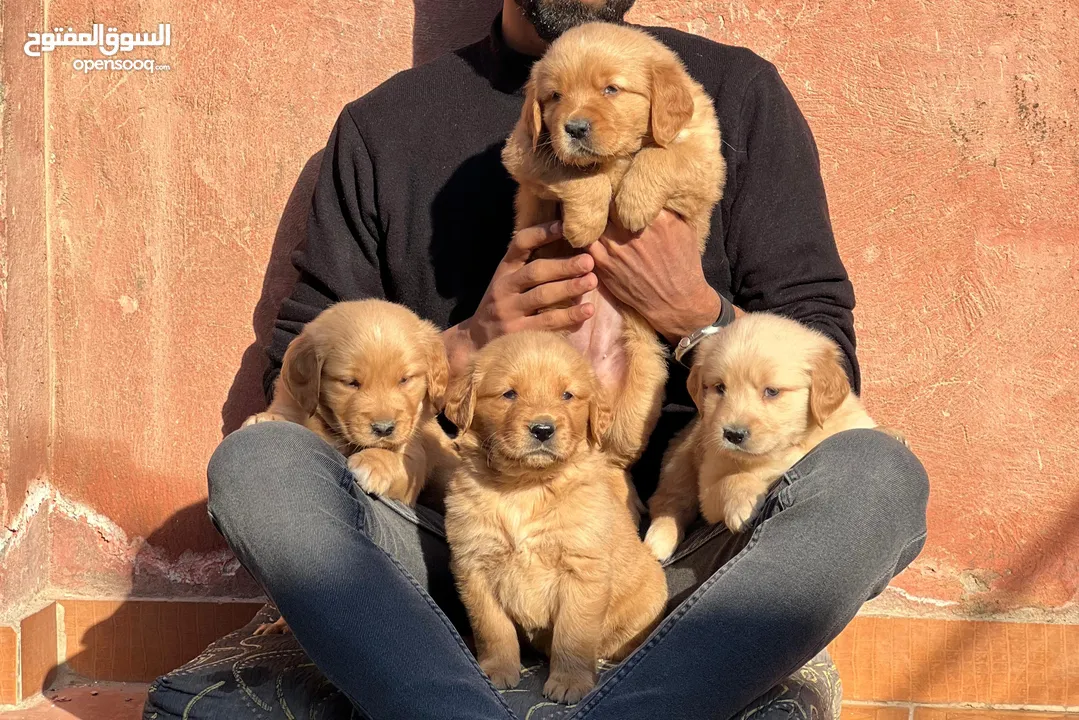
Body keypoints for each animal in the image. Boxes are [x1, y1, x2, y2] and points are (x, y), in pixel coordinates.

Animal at [440, 332, 660, 703]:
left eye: (567, 395)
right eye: (509, 393)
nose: (543, 429)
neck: (526, 487)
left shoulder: (582, 568)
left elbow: (574, 633)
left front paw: (569, 682)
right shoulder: (473, 565)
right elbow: (491, 626)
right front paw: (496, 670)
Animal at [502, 21, 725, 468]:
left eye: (611, 89)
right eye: (554, 97)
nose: (573, 127)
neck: (616, 157)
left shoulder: (704, 157)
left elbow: (662, 155)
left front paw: (633, 203)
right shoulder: (524, 149)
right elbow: (573, 170)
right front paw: (587, 221)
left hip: (643, 385)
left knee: (613, 452)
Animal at [643, 315, 880, 561]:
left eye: (772, 391)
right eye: (720, 387)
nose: (733, 434)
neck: (786, 446)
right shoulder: (709, 481)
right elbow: (730, 480)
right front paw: (742, 504)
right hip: (680, 461)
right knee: (668, 501)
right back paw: (659, 540)